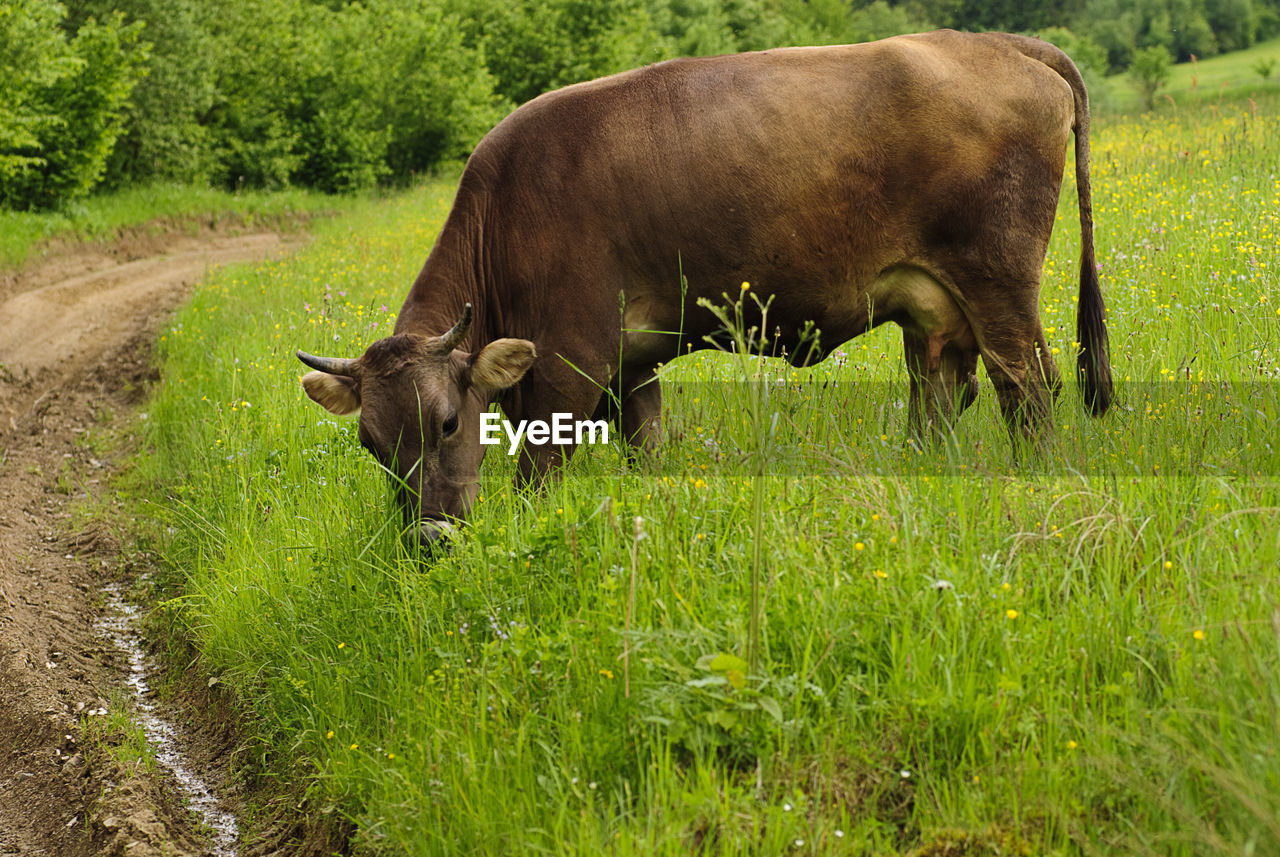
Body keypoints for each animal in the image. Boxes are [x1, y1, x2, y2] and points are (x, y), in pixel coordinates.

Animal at [296, 31, 1111, 550]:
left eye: (446, 423)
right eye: (371, 443)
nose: (428, 539)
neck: (506, 213)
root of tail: (997, 42)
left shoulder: (570, 365)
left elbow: (538, 473)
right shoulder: (633, 366)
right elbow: (646, 447)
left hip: (998, 281)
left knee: (1028, 387)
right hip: (935, 307)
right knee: (940, 394)